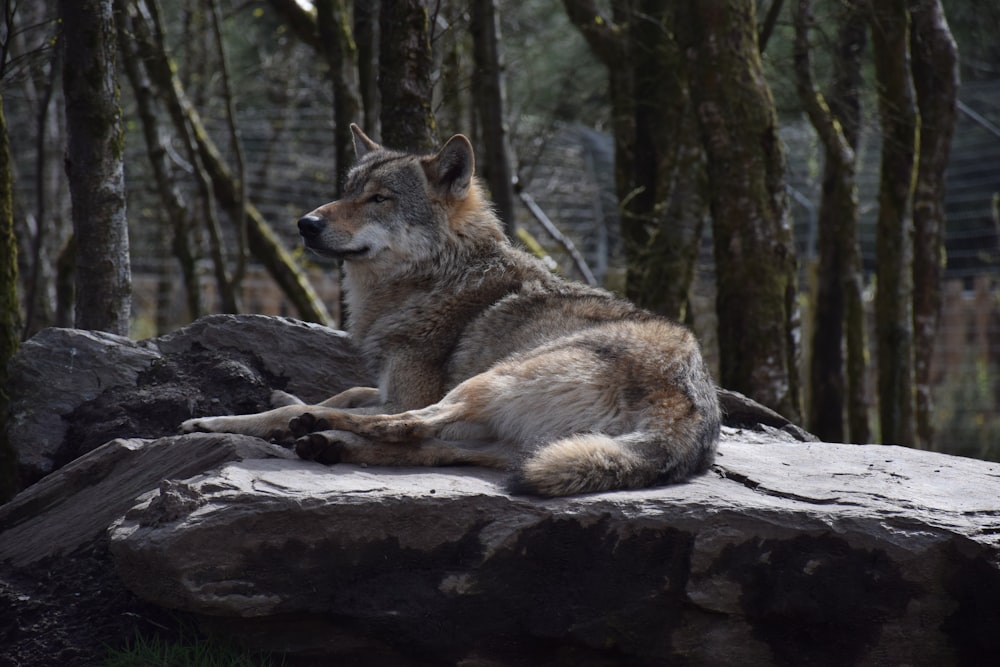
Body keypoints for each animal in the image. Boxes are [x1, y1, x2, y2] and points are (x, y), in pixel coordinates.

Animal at [182, 125, 720, 496]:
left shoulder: (404, 393)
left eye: (379, 199)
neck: (437, 277)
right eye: (348, 191)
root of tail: (688, 410)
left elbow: (335, 404)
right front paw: (283, 397)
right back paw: (328, 444)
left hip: (491, 379)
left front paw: (229, 420)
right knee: (432, 447)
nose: (305, 223)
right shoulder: (386, 385)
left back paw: (310, 430)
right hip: (505, 440)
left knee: (408, 426)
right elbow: (348, 390)